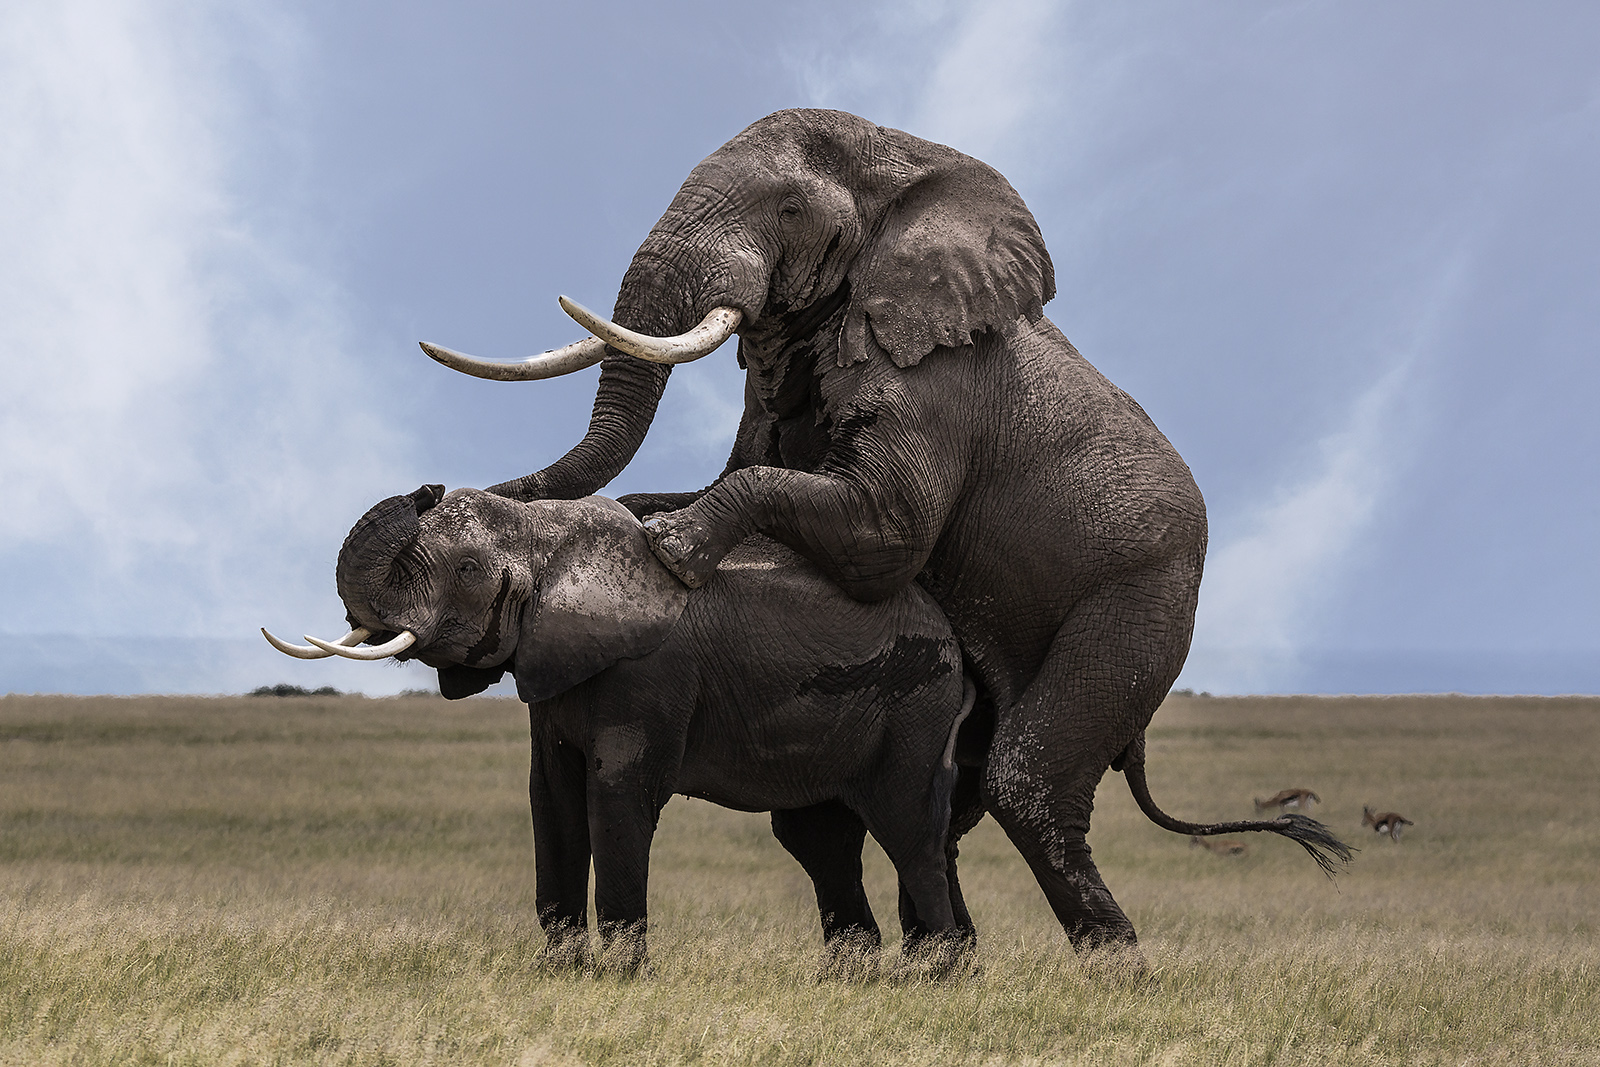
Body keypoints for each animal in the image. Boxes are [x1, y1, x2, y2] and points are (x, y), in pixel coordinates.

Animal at [265, 484, 978, 971]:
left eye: (465, 570)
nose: (427, 487)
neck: (550, 532)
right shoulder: (554, 671)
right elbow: (551, 798)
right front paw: (560, 970)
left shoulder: (651, 674)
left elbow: (616, 791)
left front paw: (619, 975)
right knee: (824, 842)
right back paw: (856, 977)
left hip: (914, 707)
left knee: (911, 833)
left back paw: (934, 977)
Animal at [422, 109, 1352, 948]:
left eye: (789, 210)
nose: (433, 493)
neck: (906, 163)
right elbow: (733, 477)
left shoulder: (939, 381)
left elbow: (884, 536)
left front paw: (675, 550)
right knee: (944, 806)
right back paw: (952, 951)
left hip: (1142, 598)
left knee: (1026, 784)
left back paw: (1116, 965)